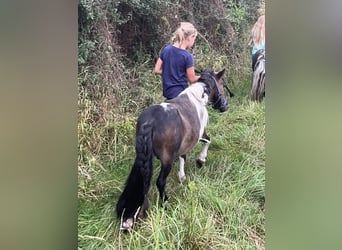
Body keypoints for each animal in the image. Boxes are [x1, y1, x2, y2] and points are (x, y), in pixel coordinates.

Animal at [116, 68, 234, 230]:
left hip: (143, 156)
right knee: (160, 181)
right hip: (167, 160)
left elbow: (183, 156)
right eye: (222, 84)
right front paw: (201, 160)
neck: (199, 96)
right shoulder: (200, 134)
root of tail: (150, 122)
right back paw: (165, 201)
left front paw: (182, 176)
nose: (225, 106)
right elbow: (208, 141)